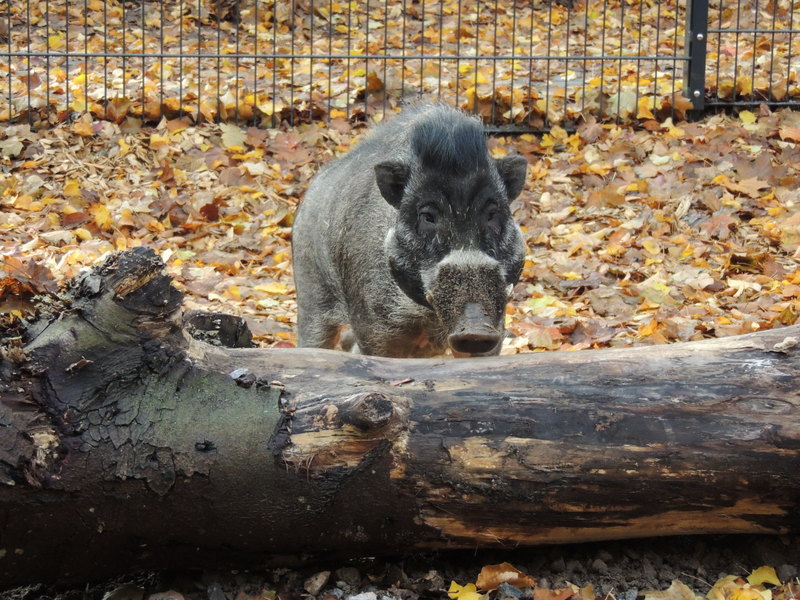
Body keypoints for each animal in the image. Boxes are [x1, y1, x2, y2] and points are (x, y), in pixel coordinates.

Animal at [290, 103, 528, 358]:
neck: (427, 316)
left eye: (492, 214)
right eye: (427, 216)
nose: (475, 331)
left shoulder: (497, 319)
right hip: (310, 290)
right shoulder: (373, 327)